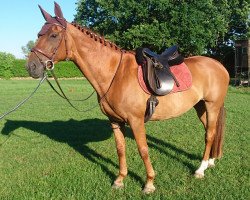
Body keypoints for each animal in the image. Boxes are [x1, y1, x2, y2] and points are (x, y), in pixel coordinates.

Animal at [26, 2, 229, 194]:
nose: (31, 67)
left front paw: (149, 183)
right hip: (201, 107)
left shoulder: (136, 120)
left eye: (53, 35)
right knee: (209, 131)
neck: (115, 74)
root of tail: (218, 65)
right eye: (39, 34)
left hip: (212, 106)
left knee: (210, 134)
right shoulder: (115, 121)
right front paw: (119, 180)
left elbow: (143, 149)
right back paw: (210, 162)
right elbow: (120, 149)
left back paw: (200, 170)